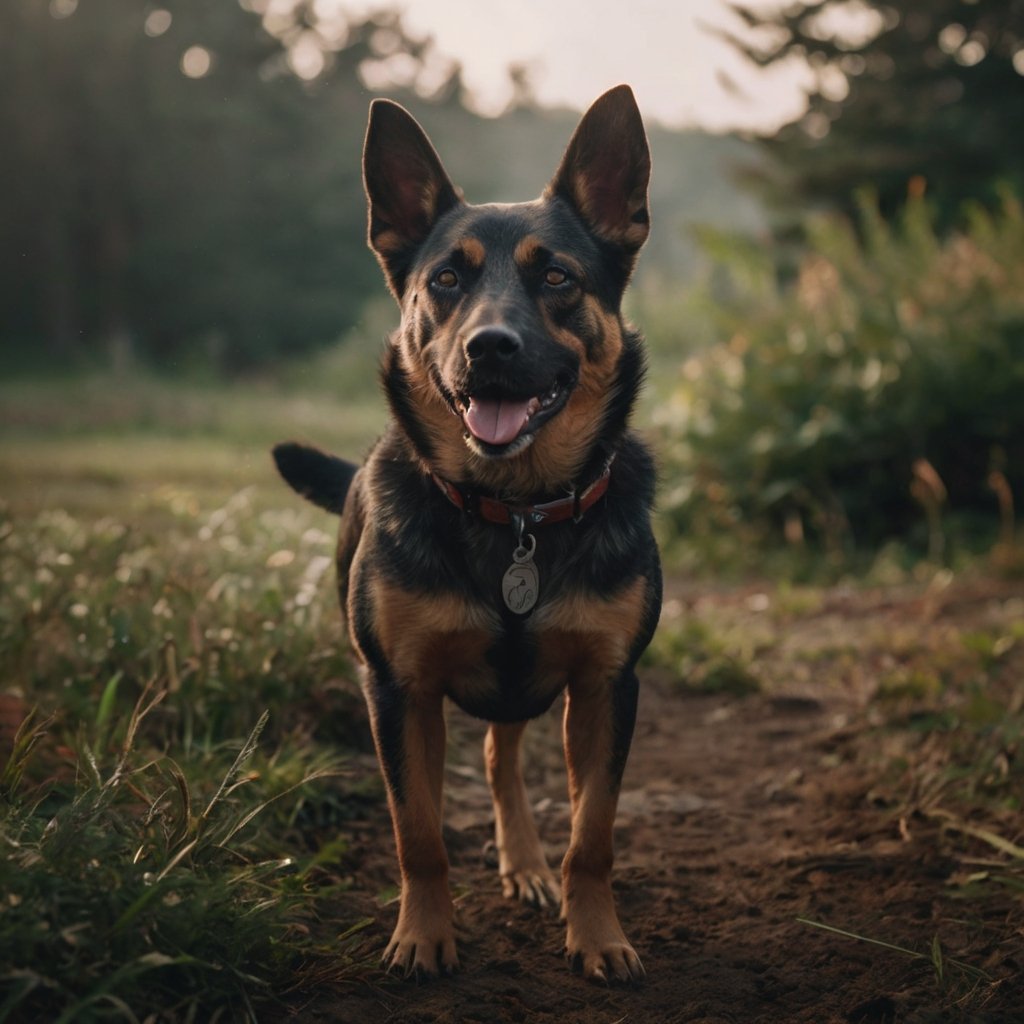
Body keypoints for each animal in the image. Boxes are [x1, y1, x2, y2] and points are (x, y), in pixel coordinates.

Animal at [272, 86, 659, 983]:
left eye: (557, 276)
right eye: (445, 279)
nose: (490, 348)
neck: (513, 509)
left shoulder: (606, 687)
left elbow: (592, 836)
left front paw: (597, 935)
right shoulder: (398, 689)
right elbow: (418, 833)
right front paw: (423, 935)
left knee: (501, 759)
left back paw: (526, 864)